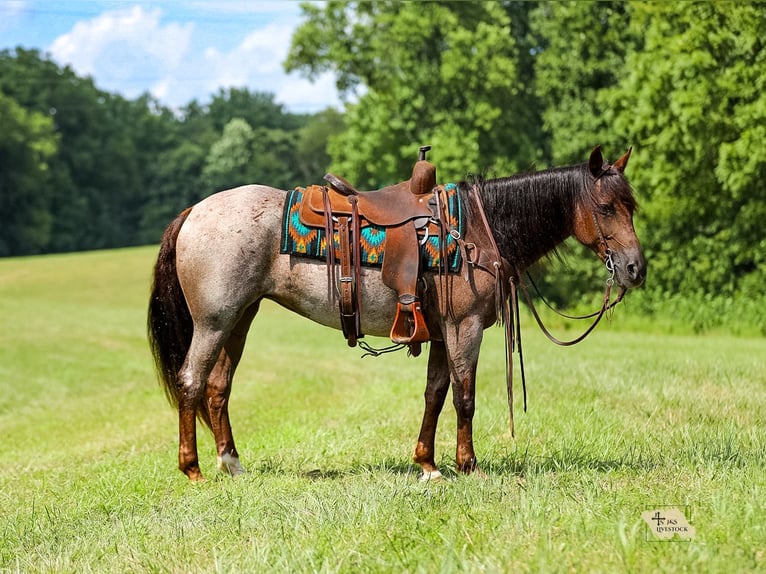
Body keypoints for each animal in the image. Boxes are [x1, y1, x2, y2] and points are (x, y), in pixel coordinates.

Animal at [148, 145, 646, 481]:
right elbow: (464, 396)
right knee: (191, 382)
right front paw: (469, 465)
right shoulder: (464, 329)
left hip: (240, 318)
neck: (478, 231)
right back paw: (192, 469)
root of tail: (194, 211)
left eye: (632, 206)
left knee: (218, 387)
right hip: (214, 322)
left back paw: (231, 463)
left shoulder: (443, 333)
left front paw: (428, 464)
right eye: (606, 207)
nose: (635, 268)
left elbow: (435, 394)